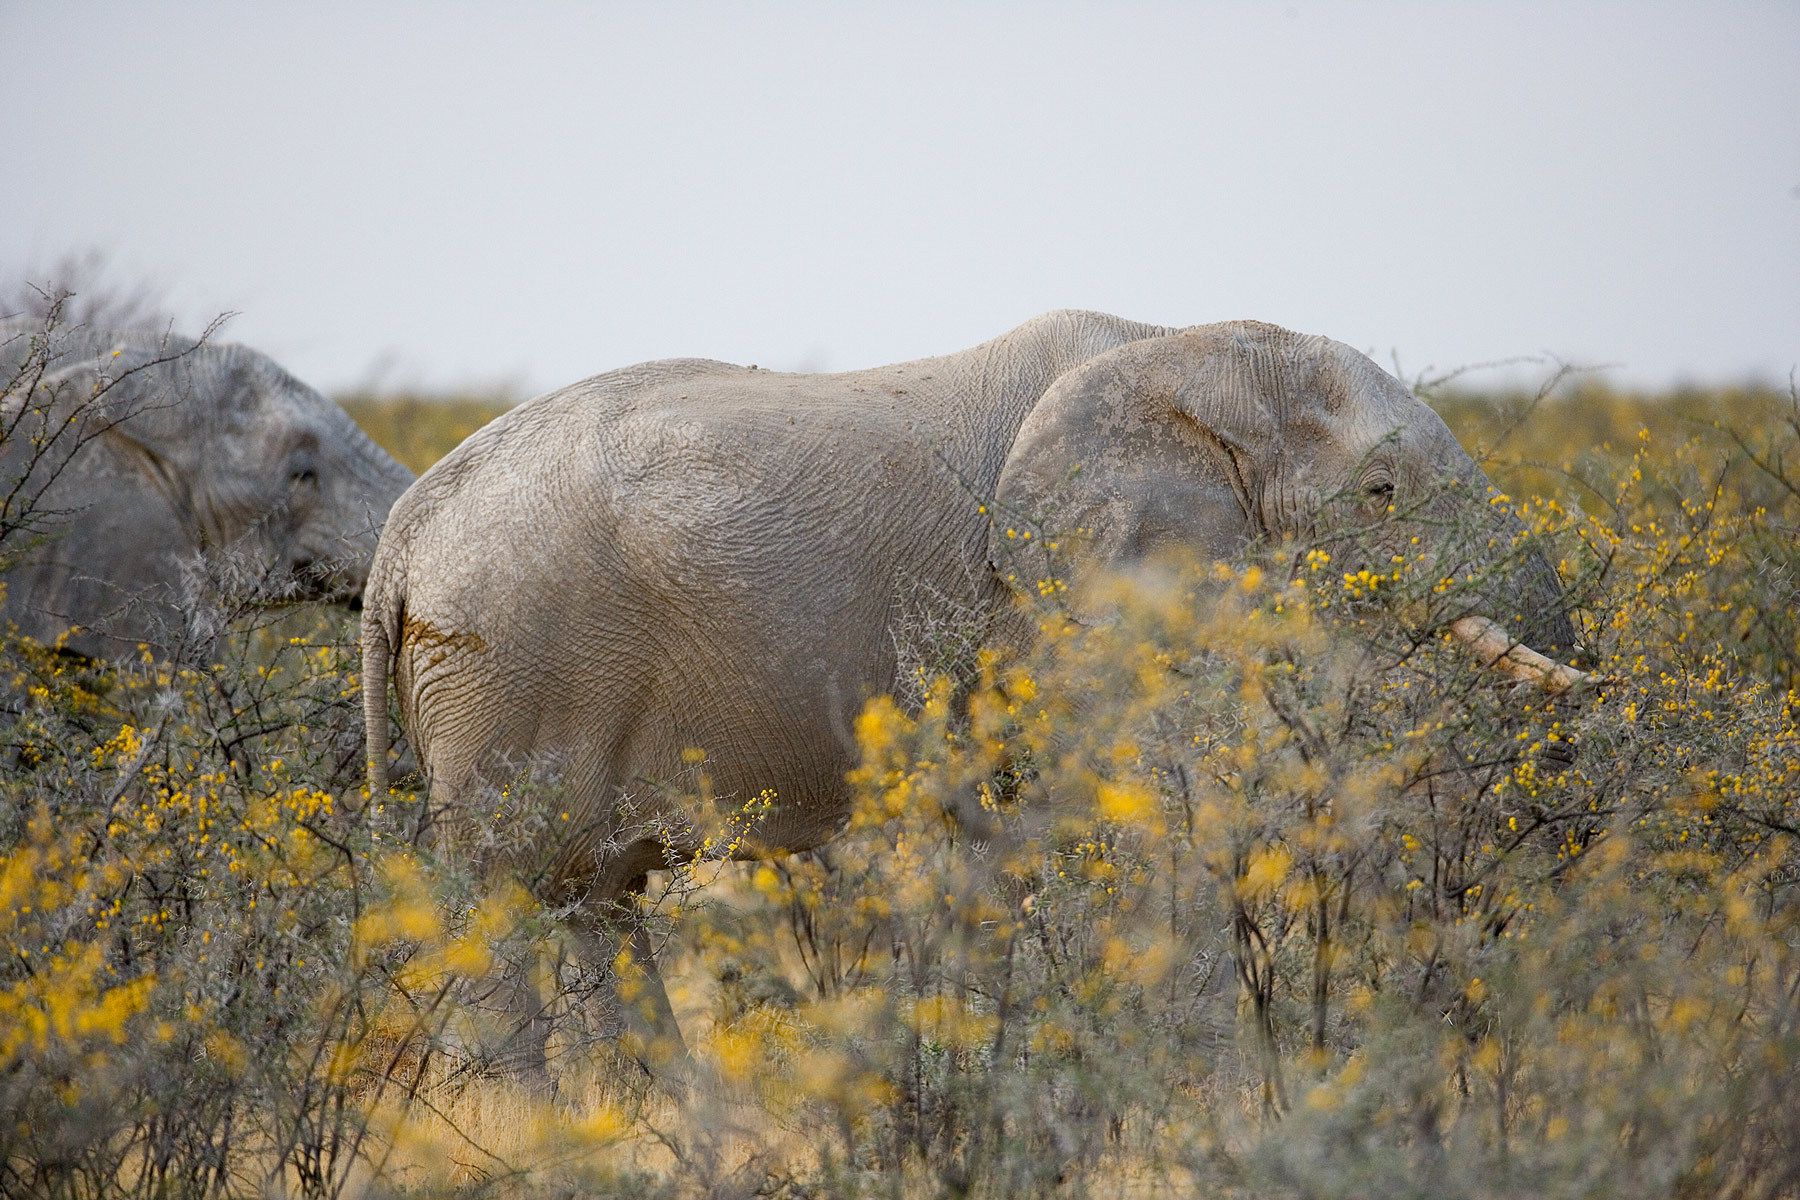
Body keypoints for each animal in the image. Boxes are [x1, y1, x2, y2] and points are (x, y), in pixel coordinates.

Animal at [360, 310, 1585, 1074]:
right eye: (1382, 493)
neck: (1189, 350)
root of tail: (401, 538)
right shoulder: (1057, 599)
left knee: (596, 902)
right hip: (508, 663)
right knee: (500, 911)